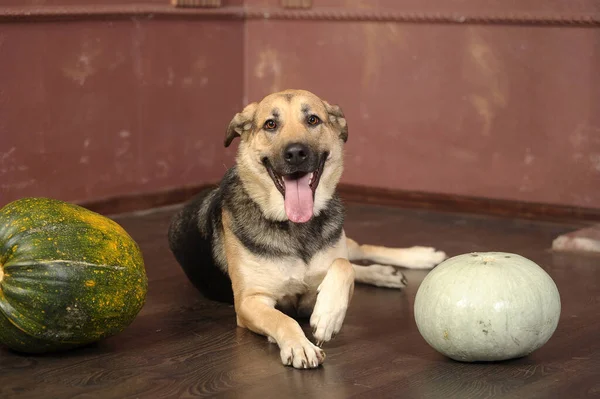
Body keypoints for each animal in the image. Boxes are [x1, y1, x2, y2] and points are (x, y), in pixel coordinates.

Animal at [168, 89, 446, 370]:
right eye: (270, 124)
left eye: (312, 120)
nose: (295, 153)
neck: (294, 227)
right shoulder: (250, 302)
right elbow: (282, 318)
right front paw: (299, 345)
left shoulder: (315, 288)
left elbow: (342, 267)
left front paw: (328, 315)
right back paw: (384, 272)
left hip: (342, 238)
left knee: (358, 252)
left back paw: (418, 257)